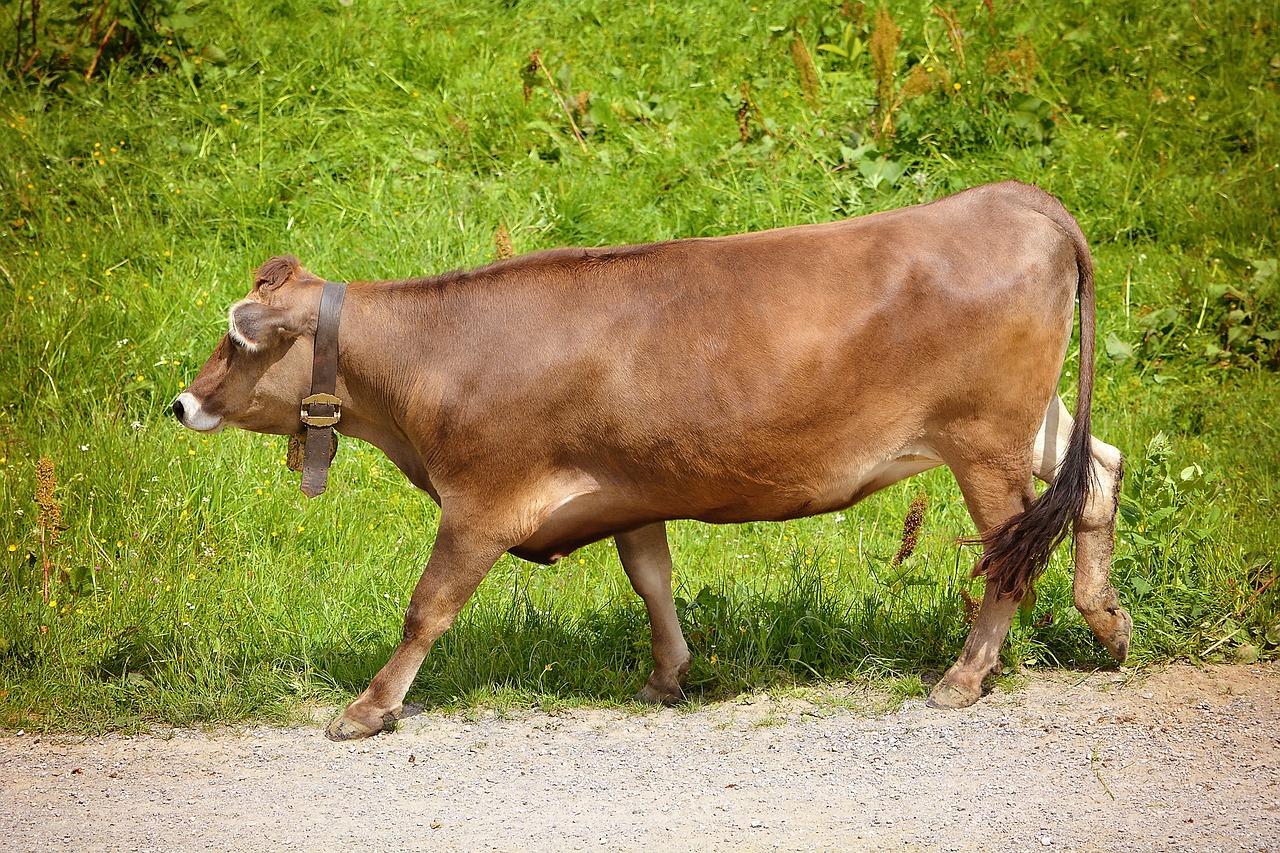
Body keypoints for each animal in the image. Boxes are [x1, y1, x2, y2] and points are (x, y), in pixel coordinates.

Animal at [172, 180, 1131, 737]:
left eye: (237, 341)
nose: (180, 401)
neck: (435, 360)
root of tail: (1016, 197)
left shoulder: (480, 501)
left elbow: (427, 607)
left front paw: (369, 707)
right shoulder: (630, 489)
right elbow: (652, 579)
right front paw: (669, 674)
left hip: (982, 440)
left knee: (1010, 554)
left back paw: (966, 676)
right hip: (1029, 423)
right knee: (1099, 472)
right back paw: (1107, 620)